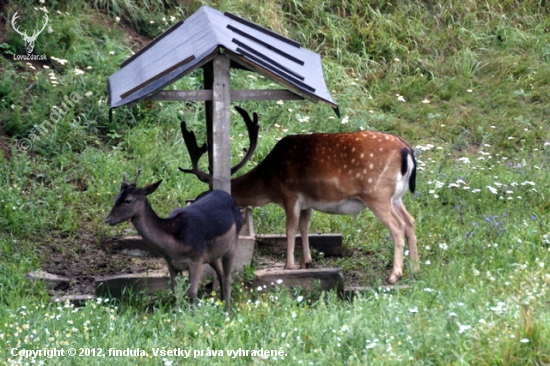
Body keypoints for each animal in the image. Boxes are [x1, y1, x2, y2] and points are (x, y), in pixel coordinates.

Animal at [105, 170, 242, 314]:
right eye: (116, 198)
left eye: (128, 200)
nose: (108, 219)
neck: (174, 247)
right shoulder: (171, 263)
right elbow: (176, 292)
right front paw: (177, 314)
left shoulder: (196, 259)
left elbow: (192, 292)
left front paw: (192, 315)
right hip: (212, 254)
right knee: (220, 273)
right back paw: (222, 305)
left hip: (233, 241)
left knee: (227, 276)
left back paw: (228, 311)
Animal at [181, 106, 418, 284]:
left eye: (203, 197)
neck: (269, 182)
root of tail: (407, 150)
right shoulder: (308, 201)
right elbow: (305, 227)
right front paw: (307, 262)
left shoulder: (290, 194)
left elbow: (290, 228)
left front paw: (289, 265)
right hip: (396, 197)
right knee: (410, 221)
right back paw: (415, 269)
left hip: (376, 193)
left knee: (398, 227)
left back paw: (394, 276)